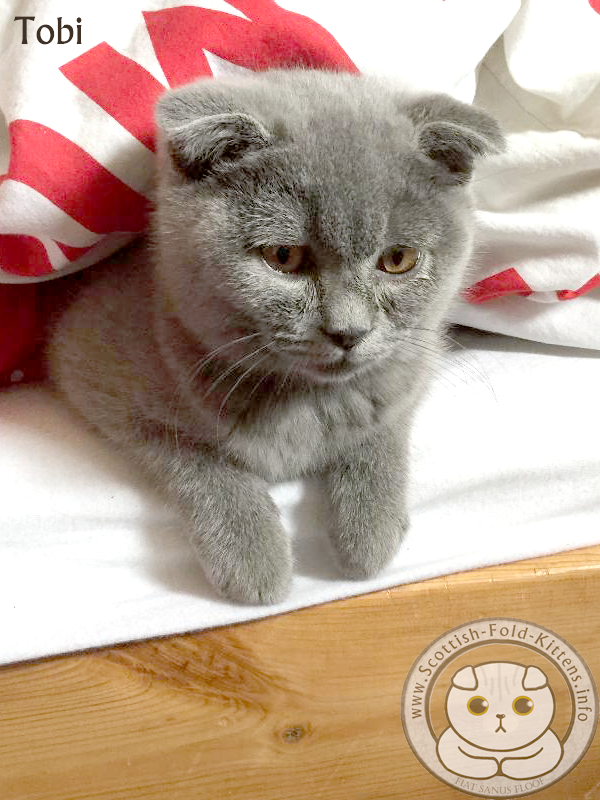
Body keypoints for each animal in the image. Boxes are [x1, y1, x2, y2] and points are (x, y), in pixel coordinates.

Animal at [49, 69, 504, 604]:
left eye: (398, 259)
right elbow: (192, 455)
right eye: (284, 257)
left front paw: (368, 530)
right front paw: (252, 555)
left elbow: (382, 423)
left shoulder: (416, 358)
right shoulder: (87, 365)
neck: (301, 400)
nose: (349, 331)